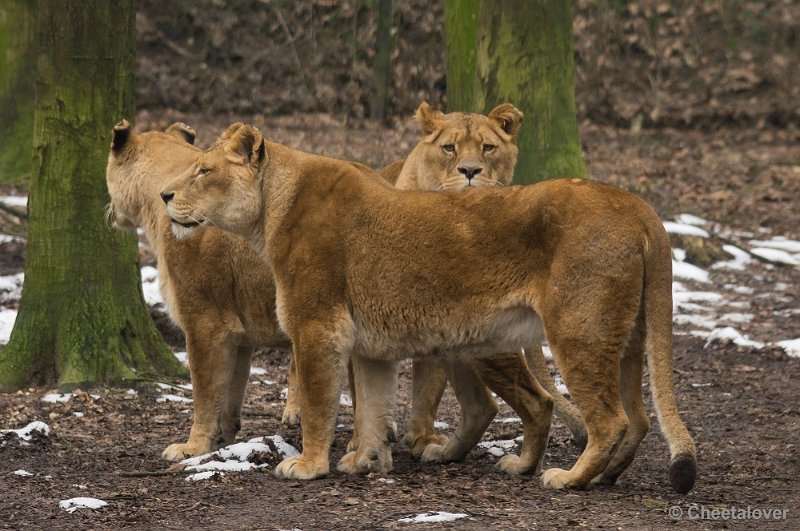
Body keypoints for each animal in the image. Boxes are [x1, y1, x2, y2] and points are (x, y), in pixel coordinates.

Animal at [164, 121, 700, 494]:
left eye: (203, 171)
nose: (166, 195)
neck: (269, 210)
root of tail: (638, 207)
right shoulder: (368, 347)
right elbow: (372, 406)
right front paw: (365, 460)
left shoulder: (318, 327)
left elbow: (319, 403)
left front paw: (309, 466)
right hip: (625, 334)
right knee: (637, 416)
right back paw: (590, 474)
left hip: (578, 330)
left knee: (609, 419)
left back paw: (569, 478)